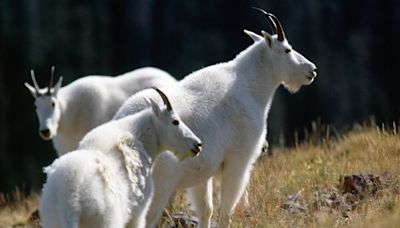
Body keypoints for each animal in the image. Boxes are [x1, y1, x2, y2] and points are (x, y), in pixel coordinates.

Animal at [38, 87, 202, 228]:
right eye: (175, 121)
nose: (197, 144)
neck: (141, 140)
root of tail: (71, 206)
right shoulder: (138, 214)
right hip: (106, 221)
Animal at [114, 8, 318, 228]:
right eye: (287, 50)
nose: (312, 70)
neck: (251, 87)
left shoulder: (204, 169)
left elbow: (206, 211)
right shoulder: (238, 160)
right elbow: (226, 210)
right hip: (158, 186)